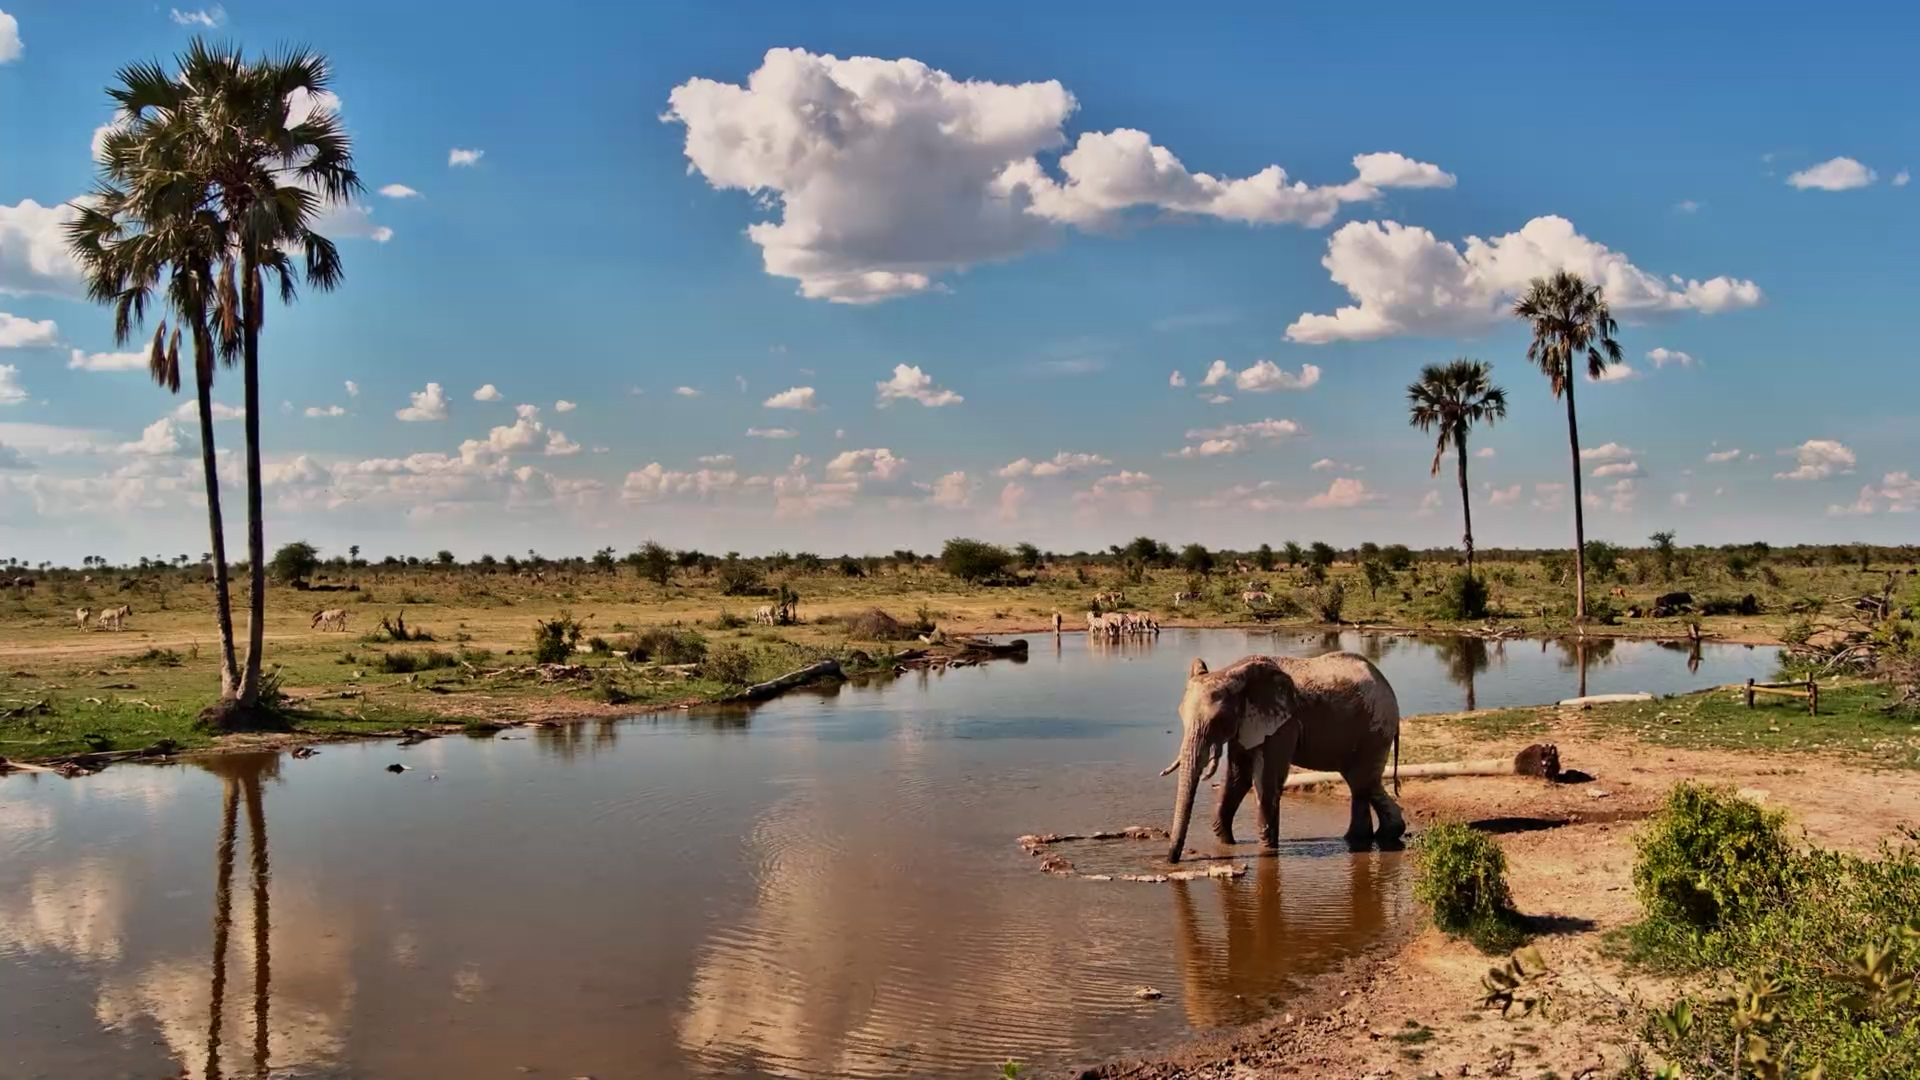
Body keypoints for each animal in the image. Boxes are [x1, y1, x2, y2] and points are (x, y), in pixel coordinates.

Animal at [1163, 652, 1404, 862]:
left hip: (1375, 729)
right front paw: (1227, 843)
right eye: (1181, 714)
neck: (1233, 673)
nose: (1172, 860)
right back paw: (1376, 836)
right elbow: (1237, 777)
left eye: (1218, 720)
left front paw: (1268, 851)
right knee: (1363, 783)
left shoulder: (1282, 725)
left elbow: (1265, 781)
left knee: (1362, 782)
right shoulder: (1246, 724)